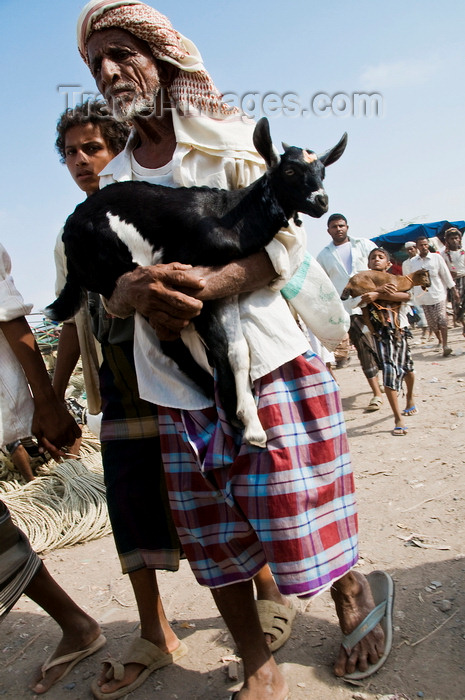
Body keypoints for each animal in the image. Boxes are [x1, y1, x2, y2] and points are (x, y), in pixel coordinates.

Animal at [47, 119, 346, 448]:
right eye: (290, 171)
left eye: (322, 171)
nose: (321, 202)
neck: (230, 216)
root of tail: (68, 232)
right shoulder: (189, 279)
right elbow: (219, 346)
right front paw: (236, 413)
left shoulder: (223, 287)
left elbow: (238, 351)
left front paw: (252, 424)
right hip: (123, 274)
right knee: (170, 343)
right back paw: (210, 393)